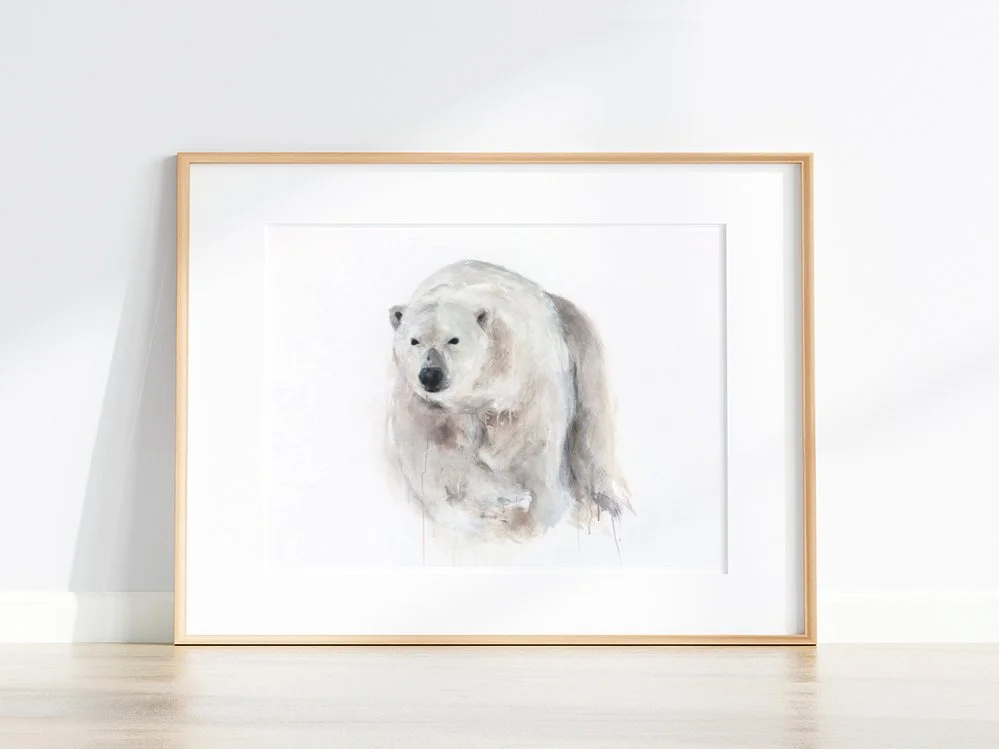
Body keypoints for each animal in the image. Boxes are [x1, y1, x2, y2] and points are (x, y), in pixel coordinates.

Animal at [386, 259, 631, 543]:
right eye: (414, 341)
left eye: (453, 340)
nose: (430, 374)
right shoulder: (425, 405)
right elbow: (429, 454)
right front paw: (495, 502)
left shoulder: (526, 383)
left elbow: (534, 447)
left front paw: (531, 513)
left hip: (586, 355)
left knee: (592, 433)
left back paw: (603, 502)